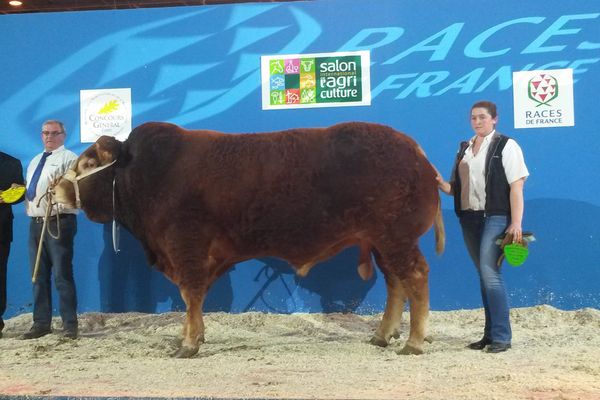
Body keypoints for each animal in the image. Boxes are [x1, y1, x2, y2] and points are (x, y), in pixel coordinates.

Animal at [52, 120, 446, 358]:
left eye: (88, 163)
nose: (55, 190)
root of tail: (415, 151)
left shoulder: (185, 246)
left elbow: (190, 294)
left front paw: (188, 343)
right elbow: (191, 298)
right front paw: (193, 336)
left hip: (395, 239)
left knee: (415, 278)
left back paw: (413, 342)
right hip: (383, 242)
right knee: (396, 283)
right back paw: (382, 335)